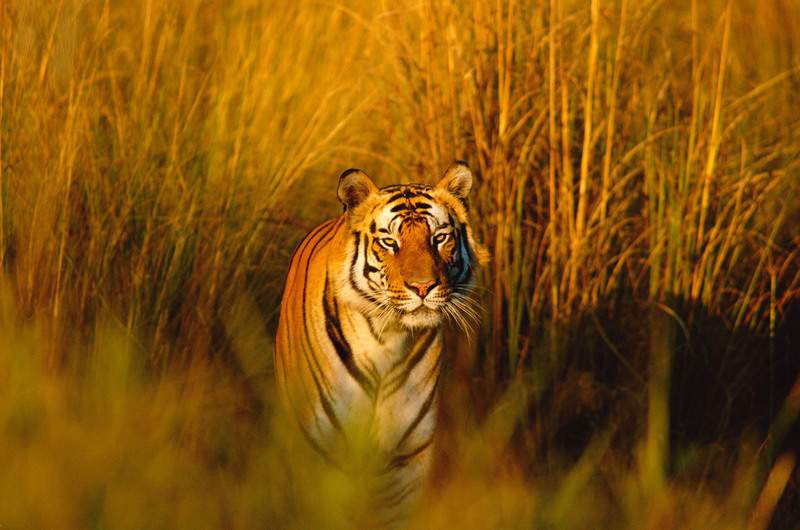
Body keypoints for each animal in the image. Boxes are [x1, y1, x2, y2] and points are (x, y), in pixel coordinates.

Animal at [276, 161, 488, 524]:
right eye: (390, 242)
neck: (387, 339)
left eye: (439, 238)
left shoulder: (407, 459)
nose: (423, 287)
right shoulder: (321, 452)